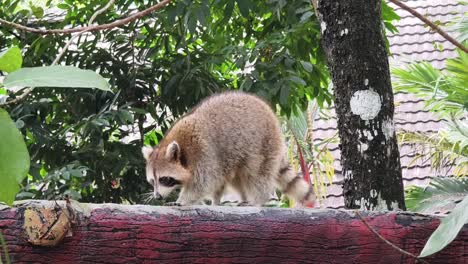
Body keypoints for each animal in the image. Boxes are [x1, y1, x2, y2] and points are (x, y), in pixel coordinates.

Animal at [141, 91, 316, 206]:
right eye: (152, 181)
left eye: (164, 179)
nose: (157, 197)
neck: (182, 147)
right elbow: (216, 183)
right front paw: (214, 201)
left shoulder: (204, 151)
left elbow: (203, 183)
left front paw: (183, 200)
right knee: (237, 178)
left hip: (264, 143)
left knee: (257, 174)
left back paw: (258, 200)